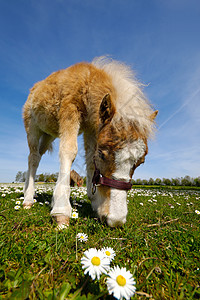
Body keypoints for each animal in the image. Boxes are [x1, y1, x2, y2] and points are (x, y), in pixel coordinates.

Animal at [22, 56, 158, 227]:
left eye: (141, 162)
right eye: (102, 155)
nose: (116, 220)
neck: (87, 81)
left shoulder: (92, 128)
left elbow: (89, 160)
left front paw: (95, 203)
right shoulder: (69, 109)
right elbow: (69, 151)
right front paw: (61, 211)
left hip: (48, 134)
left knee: (37, 156)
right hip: (32, 127)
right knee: (33, 157)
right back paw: (27, 199)